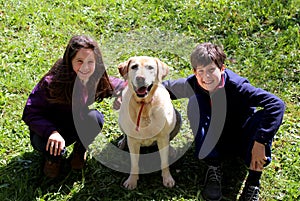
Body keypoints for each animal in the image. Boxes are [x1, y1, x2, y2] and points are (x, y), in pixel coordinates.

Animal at [117, 55, 179, 189]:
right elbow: (134, 164)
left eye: (150, 67)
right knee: (125, 135)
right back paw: (122, 142)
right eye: (134, 66)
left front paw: (167, 178)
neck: (144, 105)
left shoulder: (162, 138)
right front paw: (132, 181)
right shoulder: (133, 142)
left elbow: (164, 162)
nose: (140, 78)